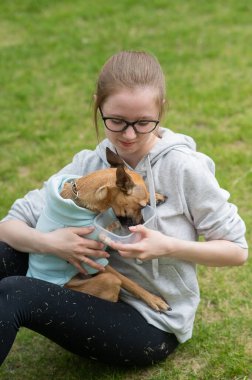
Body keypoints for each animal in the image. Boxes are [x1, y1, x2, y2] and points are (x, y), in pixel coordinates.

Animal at [61, 148, 169, 312]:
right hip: (109, 281)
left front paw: (156, 196)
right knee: (116, 284)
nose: (142, 224)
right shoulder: (97, 260)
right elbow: (127, 281)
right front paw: (152, 298)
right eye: (141, 206)